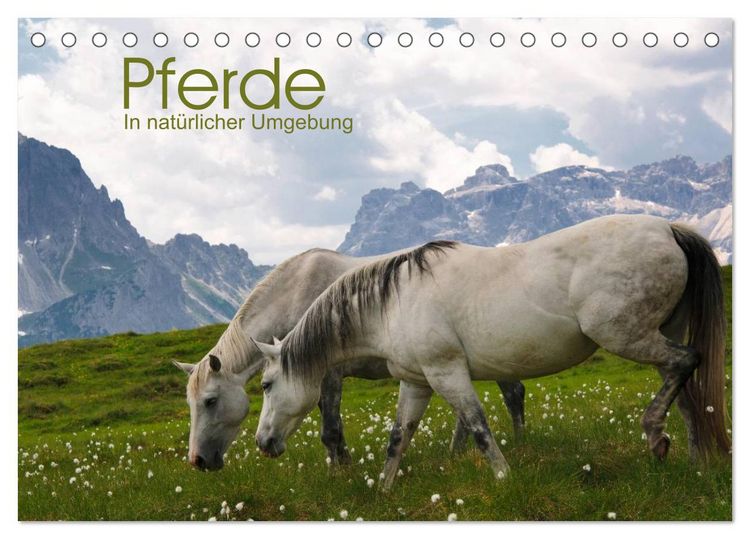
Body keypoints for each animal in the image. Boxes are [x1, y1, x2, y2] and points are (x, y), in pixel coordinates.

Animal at [171, 246, 527, 471]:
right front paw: (343, 464)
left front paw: (339, 474)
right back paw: (458, 453)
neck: (298, 294)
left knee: (513, 394)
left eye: (210, 401)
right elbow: (334, 430)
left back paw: (520, 445)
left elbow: (330, 430)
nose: (197, 460)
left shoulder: (328, 376)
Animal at [253, 214, 730, 490]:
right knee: (685, 392)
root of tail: (668, 229)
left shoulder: (447, 372)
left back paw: (654, 434)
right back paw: (692, 462)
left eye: (267, 384)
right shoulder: (417, 382)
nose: (262, 443)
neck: (393, 302)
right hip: (656, 333)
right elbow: (398, 438)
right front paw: (383, 492)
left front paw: (504, 479)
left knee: (687, 361)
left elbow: (478, 426)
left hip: (626, 336)